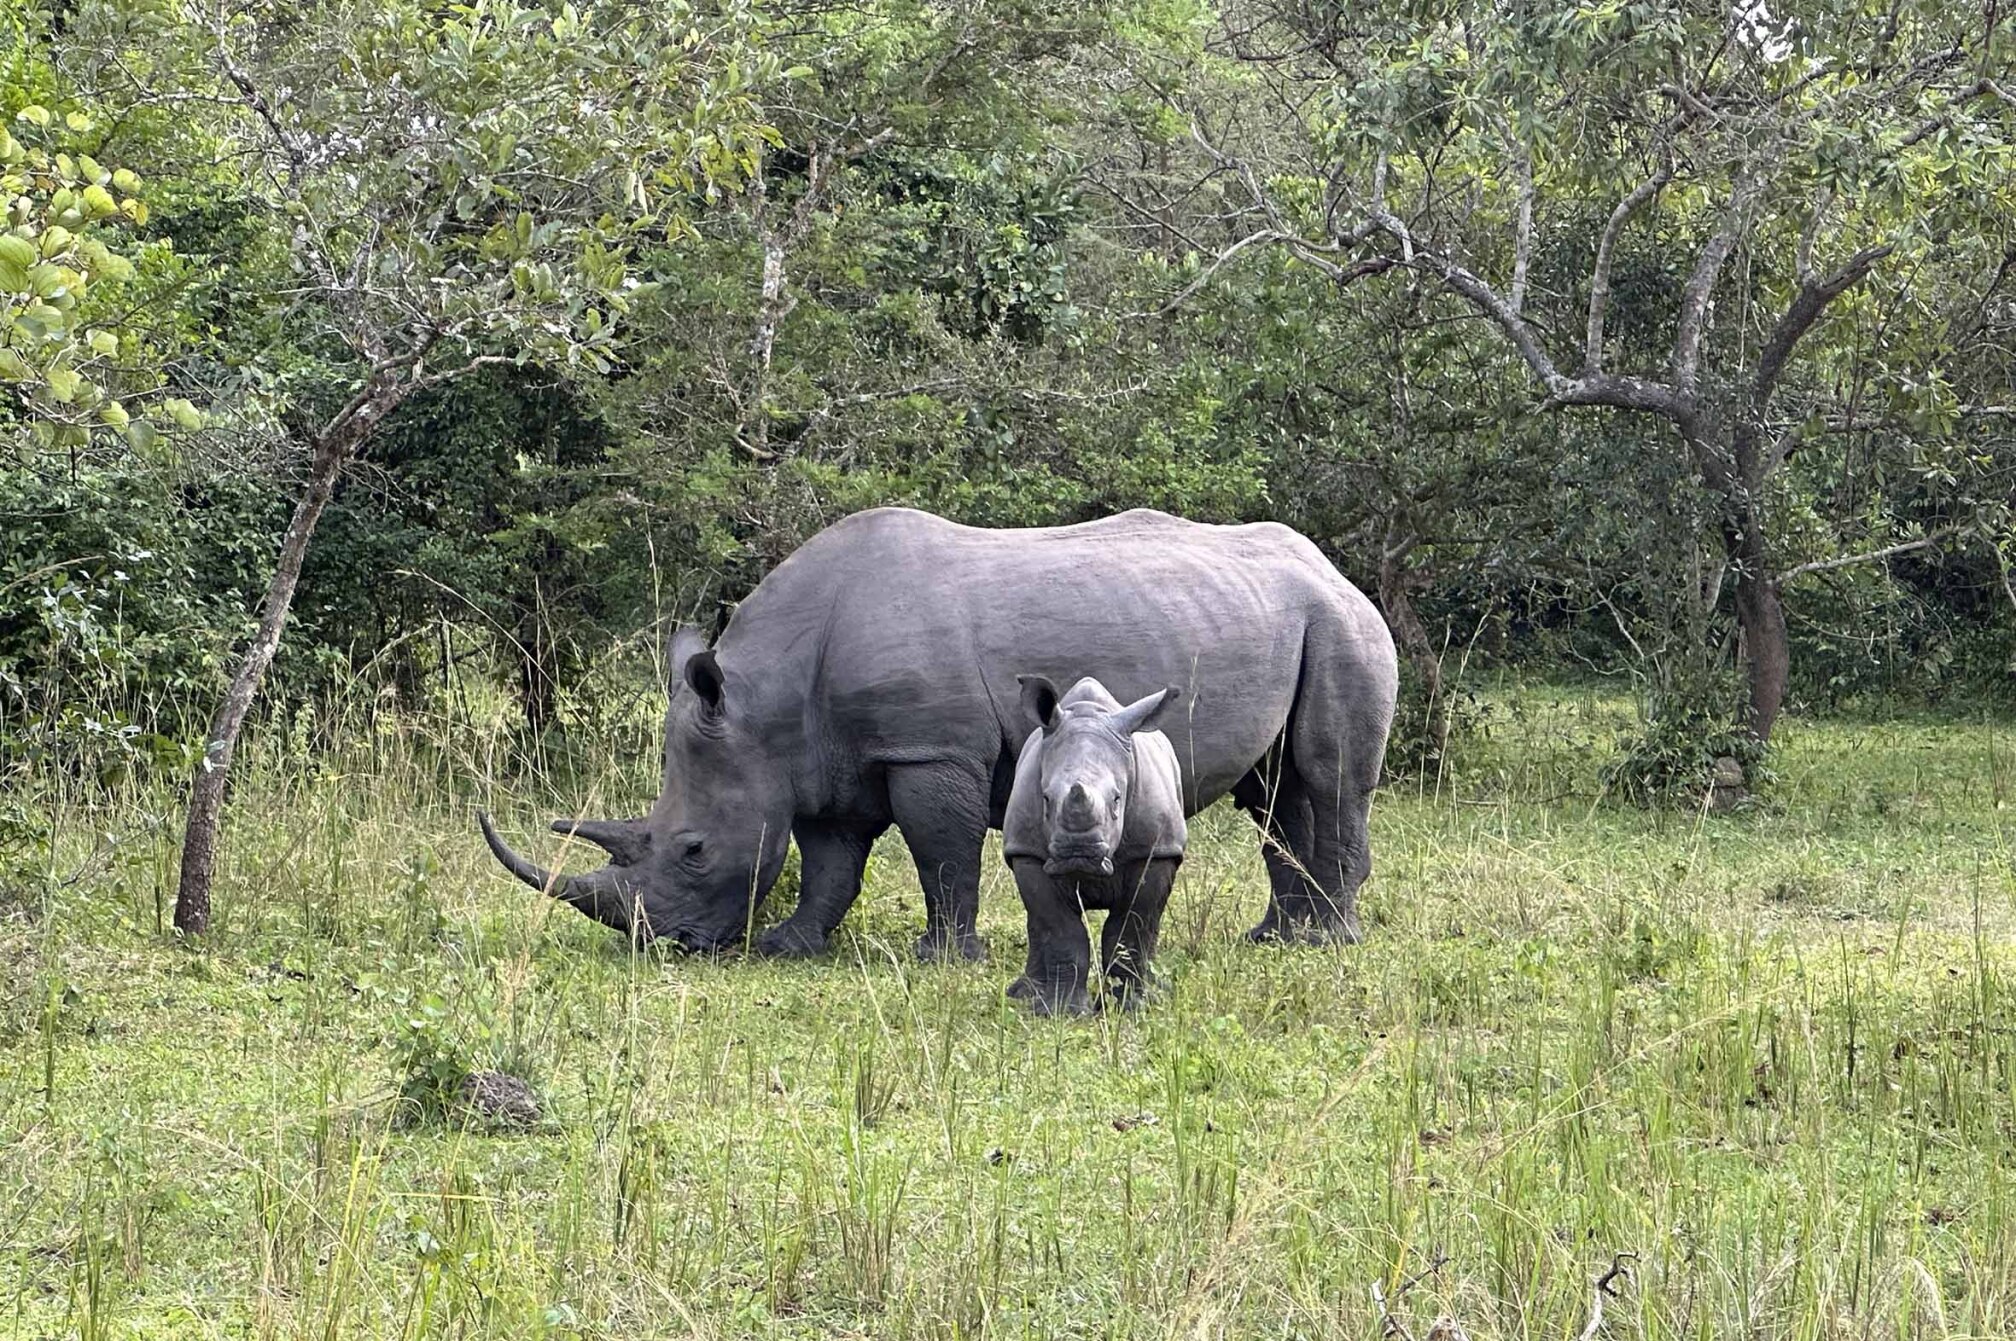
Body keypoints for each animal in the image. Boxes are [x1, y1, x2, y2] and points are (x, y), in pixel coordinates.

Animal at [1003, 673, 1185, 1008]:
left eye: (1117, 800)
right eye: (1046, 799)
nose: (1079, 852)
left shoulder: (1155, 851)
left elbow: (1131, 930)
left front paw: (1131, 1006)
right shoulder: (1027, 852)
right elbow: (1061, 931)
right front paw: (1061, 1010)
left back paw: (1158, 990)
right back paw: (1024, 994)